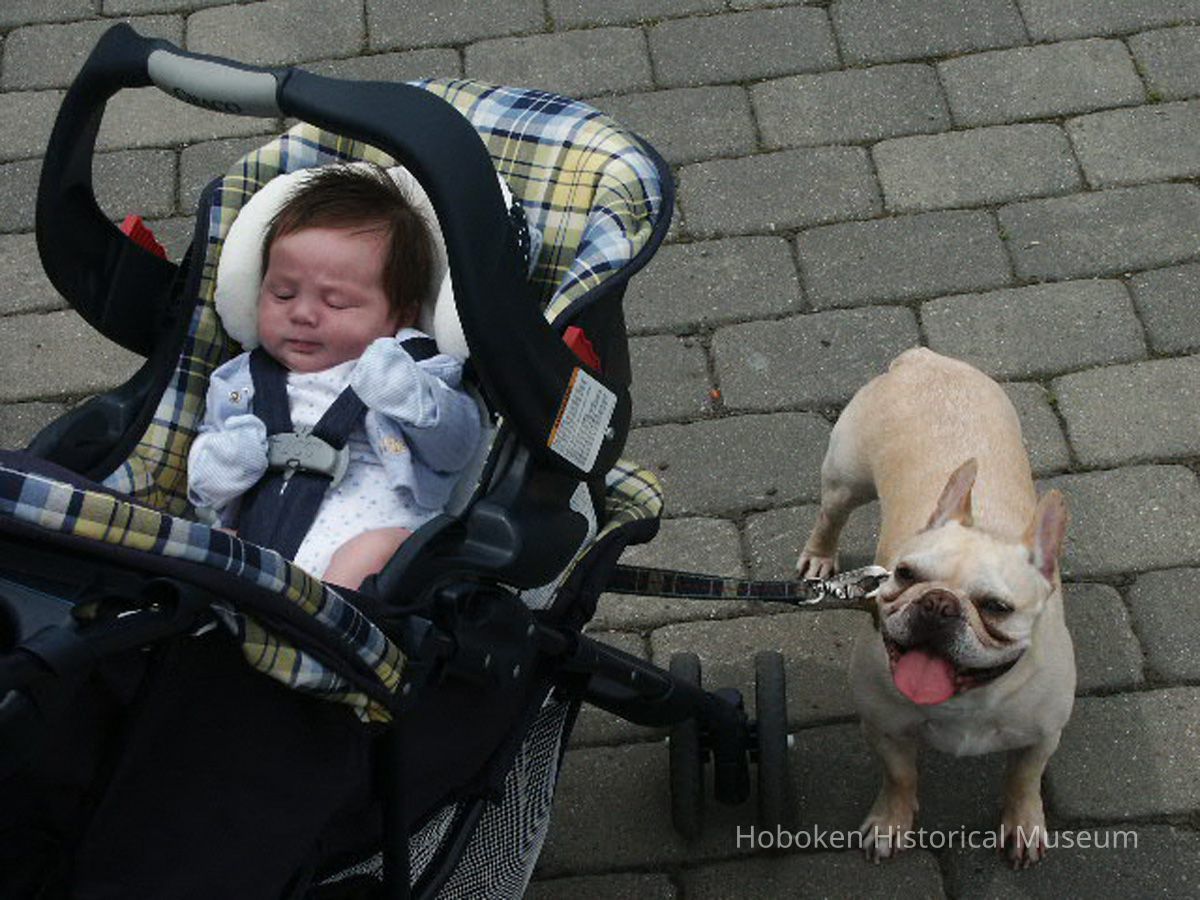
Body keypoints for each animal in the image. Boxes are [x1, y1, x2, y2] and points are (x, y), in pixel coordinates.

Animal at [796, 348, 1073, 867]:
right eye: (905, 575)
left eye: (997, 607)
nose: (938, 603)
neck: (966, 700)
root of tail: (922, 360)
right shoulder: (884, 728)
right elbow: (900, 776)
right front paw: (890, 822)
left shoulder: (1042, 737)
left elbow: (1023, 781)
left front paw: (1023, 825)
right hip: (845, 477)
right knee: (830, 513)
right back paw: (820, 555)